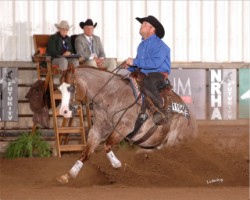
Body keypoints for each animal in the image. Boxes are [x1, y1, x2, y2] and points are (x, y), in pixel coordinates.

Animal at [56, 66, 197, 184]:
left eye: (71, 87)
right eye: (60, 89)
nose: (64, 111)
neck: (111, 94)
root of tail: (188, 114)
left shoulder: (124, 128)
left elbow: (107, 145)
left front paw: (118, 164)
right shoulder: (98, 129)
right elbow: (85, 153)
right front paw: (69, 175)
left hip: (174, 141)